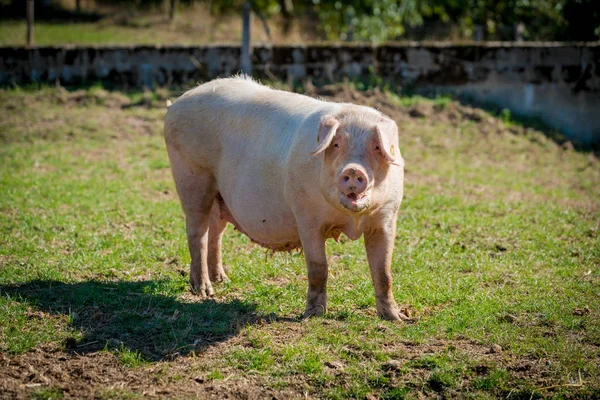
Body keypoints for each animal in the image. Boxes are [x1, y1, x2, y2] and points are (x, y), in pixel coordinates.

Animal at [164, 76, 408, 322]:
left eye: (376, 146)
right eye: (337, 144)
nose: (353, 170)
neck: (351, 220)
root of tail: (179, 101)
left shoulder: (387, 218)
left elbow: (384, 271)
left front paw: (396, 318)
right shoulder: (306, 216)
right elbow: (318, 267)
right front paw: (312, 315)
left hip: (220, 194)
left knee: (215, 231)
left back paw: (222, 280)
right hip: (191, 177)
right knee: (197, 233)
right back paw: (204, 290)